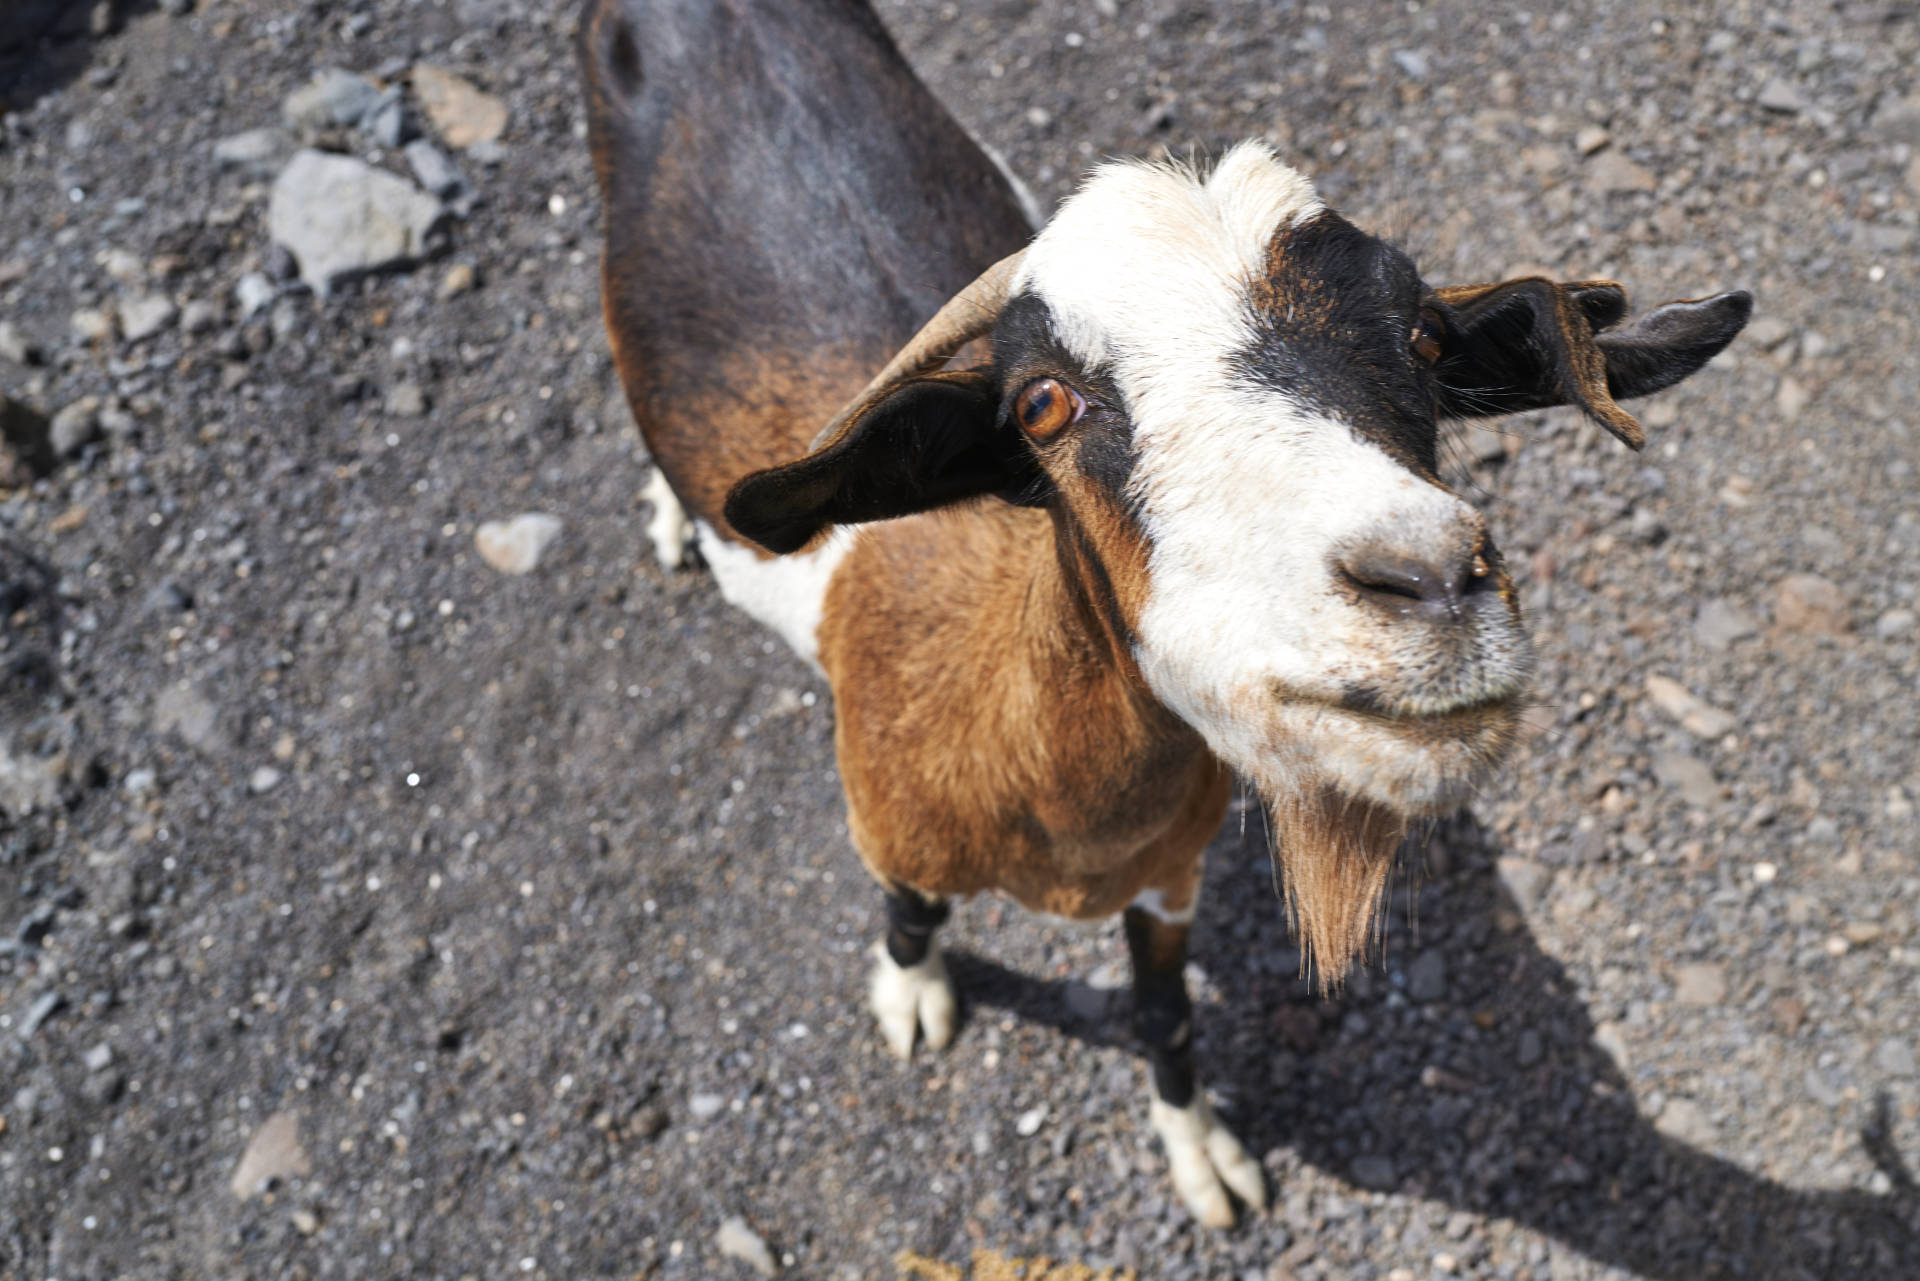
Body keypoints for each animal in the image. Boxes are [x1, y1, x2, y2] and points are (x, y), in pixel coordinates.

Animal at [576, 0, 1751, 1229]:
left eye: (1427, 341)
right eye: (1042, 404)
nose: (1428, 578)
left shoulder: (1167, 880)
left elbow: (1165, 1017)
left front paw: (1204, 1156)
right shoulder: (892, 838)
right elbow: (912, 924)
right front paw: (911, 998)